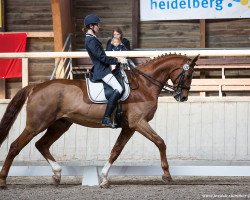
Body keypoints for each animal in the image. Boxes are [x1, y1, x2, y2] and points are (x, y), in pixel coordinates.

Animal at [0, 53, 199, 188]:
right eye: (188, 75)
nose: (182, 97)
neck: (144, 85)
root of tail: (35, 86)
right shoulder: (138, 122)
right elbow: (160, 142)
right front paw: (166, 175)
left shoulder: (129, 127)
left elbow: (116, 150)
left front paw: (103, 179)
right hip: (36, 124)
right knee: (15, 146)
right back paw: (3, 180)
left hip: (60, 124)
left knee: (41, 145)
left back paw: (56, 175)